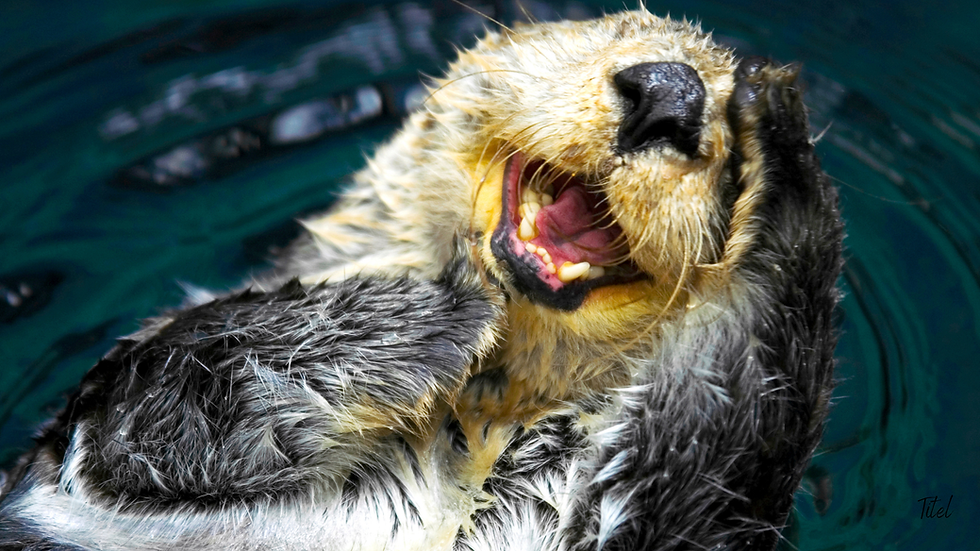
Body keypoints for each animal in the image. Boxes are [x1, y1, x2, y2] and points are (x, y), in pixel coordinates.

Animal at [0, 10, 843, 551]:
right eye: (620, 32)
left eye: (726, 144)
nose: (671, 92)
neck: (472, 424)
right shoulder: (95, 435)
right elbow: (168, 385)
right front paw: (449, 303)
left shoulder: (647, 515)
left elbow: (719, 431)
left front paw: (784, 146)